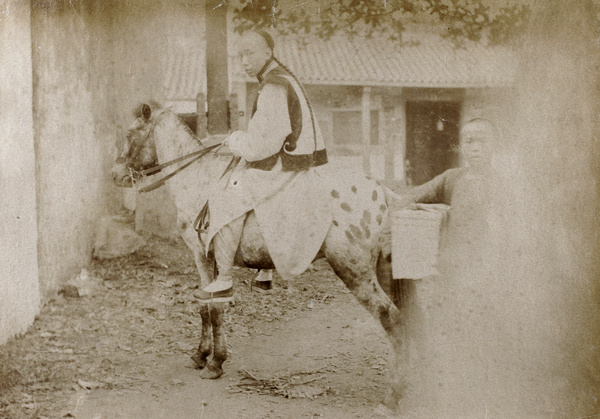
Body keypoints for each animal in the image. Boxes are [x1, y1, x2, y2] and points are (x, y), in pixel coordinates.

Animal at [110, 102, 406, 410]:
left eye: (130, 133)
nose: (115, 174)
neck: (200, 179)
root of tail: (381, 190)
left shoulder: (202, 255)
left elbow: (213, 308)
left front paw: (214, 363)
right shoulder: (212, 260)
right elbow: (206, 307)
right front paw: (202, 355)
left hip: (353, 270)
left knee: (391, 318)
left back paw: (392, 396)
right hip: (381, 271)